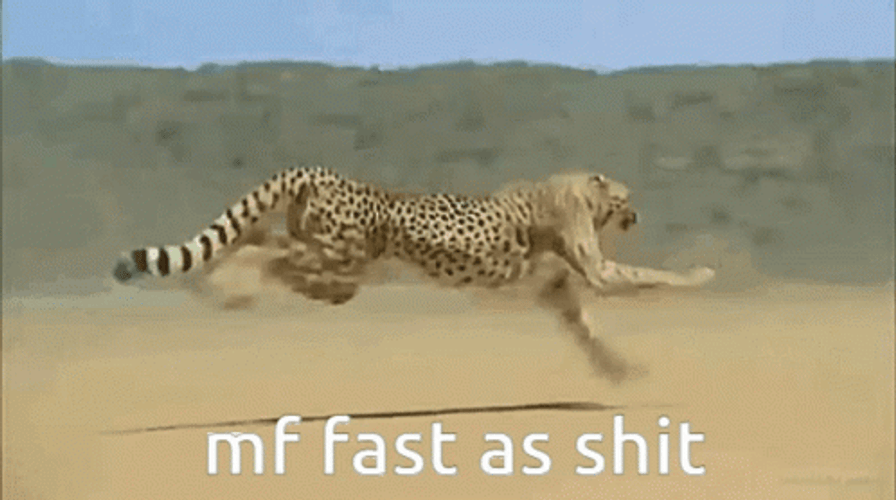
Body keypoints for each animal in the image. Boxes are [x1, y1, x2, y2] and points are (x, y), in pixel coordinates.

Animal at [112, 165, 715, 382]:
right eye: (625, 198)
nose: (636, 215)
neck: (576, 190)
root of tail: (319, 173)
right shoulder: (595, 268)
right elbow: (648, 274)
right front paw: (702, 274)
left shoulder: (553, 286)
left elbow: (584, 328)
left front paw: (619, 369)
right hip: (342, 259)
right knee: (276, 259)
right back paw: (228, 289)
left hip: (330, 258)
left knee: (262, 242)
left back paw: (214, 282)